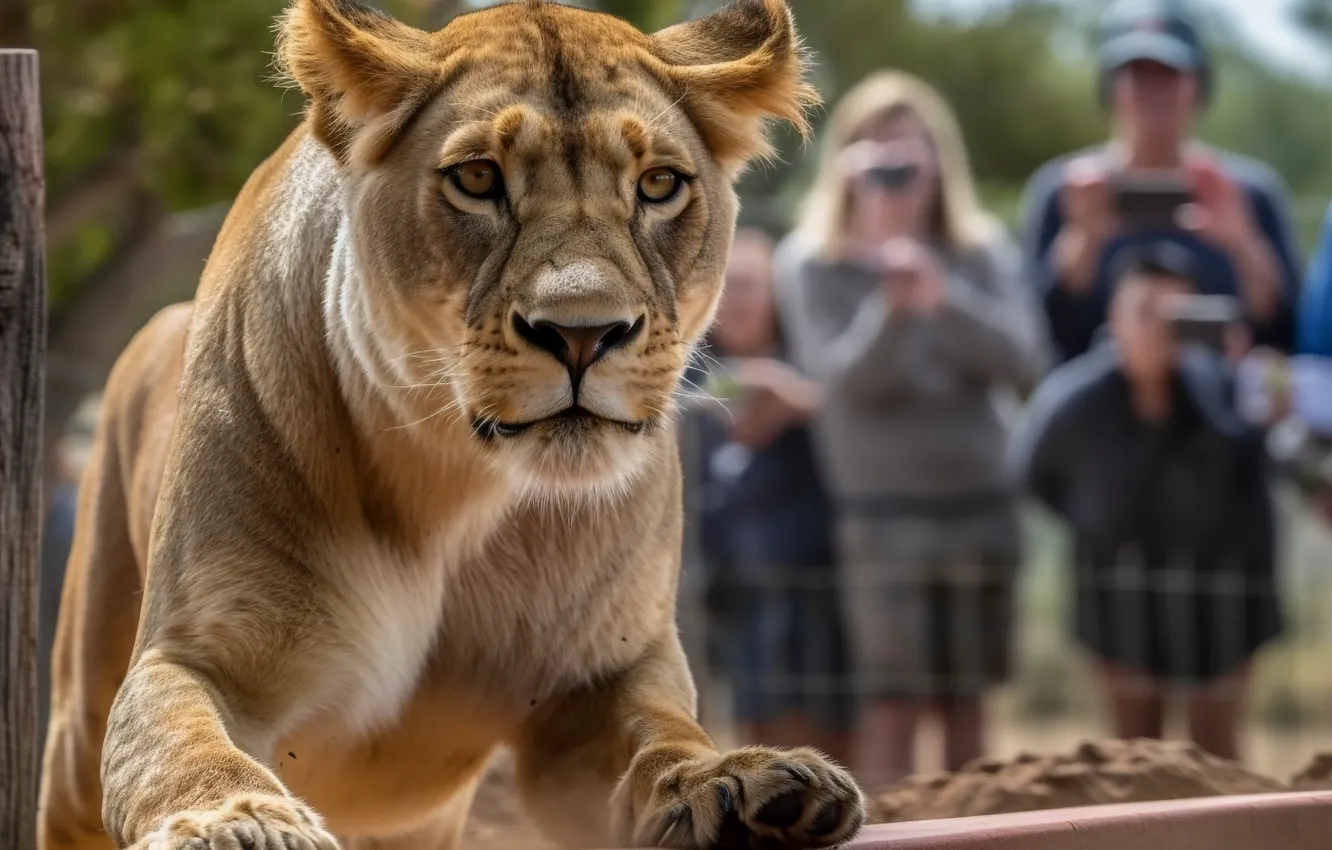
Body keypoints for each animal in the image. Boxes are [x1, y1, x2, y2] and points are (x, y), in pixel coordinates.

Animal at [37, 1, 866, 849]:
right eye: (476, 178)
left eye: (659, 184)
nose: (582, 334)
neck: (451, 492)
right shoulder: (199, 652)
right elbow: (178, 745)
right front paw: (236, 821)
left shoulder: (600, 683)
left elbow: (664, 736)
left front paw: (740, 785)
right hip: (78, 707)